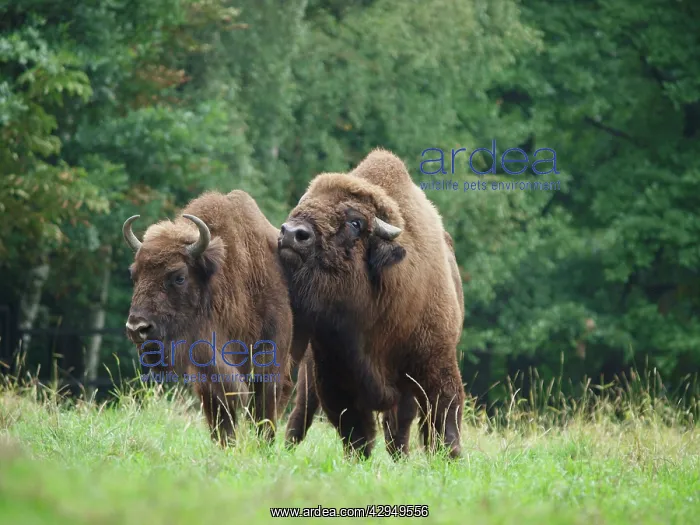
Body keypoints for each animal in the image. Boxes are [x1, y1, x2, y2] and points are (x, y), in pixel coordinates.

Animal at [122, 190, 310, 446]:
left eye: (179, 276)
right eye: (134, 274)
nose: (136, 328)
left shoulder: (269, 365)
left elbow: (263, 415)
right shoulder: (207, 378)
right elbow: (223, 423)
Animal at [277, 148, 465, 459]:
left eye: (355, 223)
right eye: (301, 207)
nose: (292, 233)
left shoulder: (435, 364)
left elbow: (444, 418)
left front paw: (450, 457)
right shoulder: (334, 376)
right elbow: (356, 432)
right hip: (307, 376)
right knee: (300, 417)